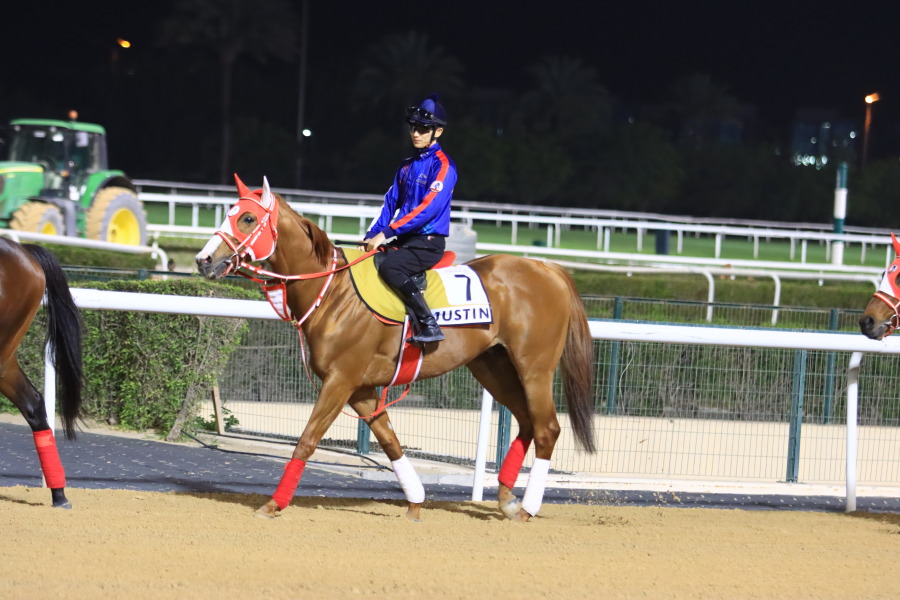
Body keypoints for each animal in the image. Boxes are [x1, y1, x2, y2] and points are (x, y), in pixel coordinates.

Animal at [193, 177, 596, 520]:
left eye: (247, 218)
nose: (203, 260)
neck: (334, 291)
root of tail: (549, 269)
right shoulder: (360, 388)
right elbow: (390, 442)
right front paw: (416, 502)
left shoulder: (340, 380)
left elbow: (307, 440)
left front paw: (274, 504)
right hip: (491, 366)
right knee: (527, 421)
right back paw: (507, 499)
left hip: (534, 368)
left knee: (547, 428)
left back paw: (527, 507)